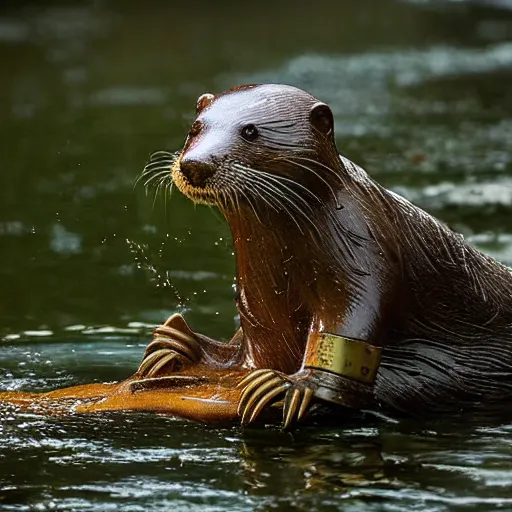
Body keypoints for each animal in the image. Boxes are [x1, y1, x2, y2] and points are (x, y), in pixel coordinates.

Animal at [135, 84, 512, 428]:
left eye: (250, 131)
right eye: (195, 128)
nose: (194, 164)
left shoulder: (362, 249)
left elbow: (348, 323)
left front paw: (292, 386)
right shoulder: (259, 307)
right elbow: (255, 346)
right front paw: (182, 346)